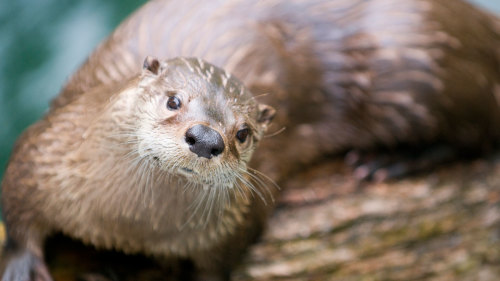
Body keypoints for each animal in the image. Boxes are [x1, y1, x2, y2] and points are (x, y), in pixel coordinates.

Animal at [0, 55, 276, 278]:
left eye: (243, 133)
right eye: (173, 101)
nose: (206, 139)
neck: (128, 225)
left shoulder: (234, 228)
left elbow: (218, 269)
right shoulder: (44, 149)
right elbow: (18, 203)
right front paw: (21, 267)